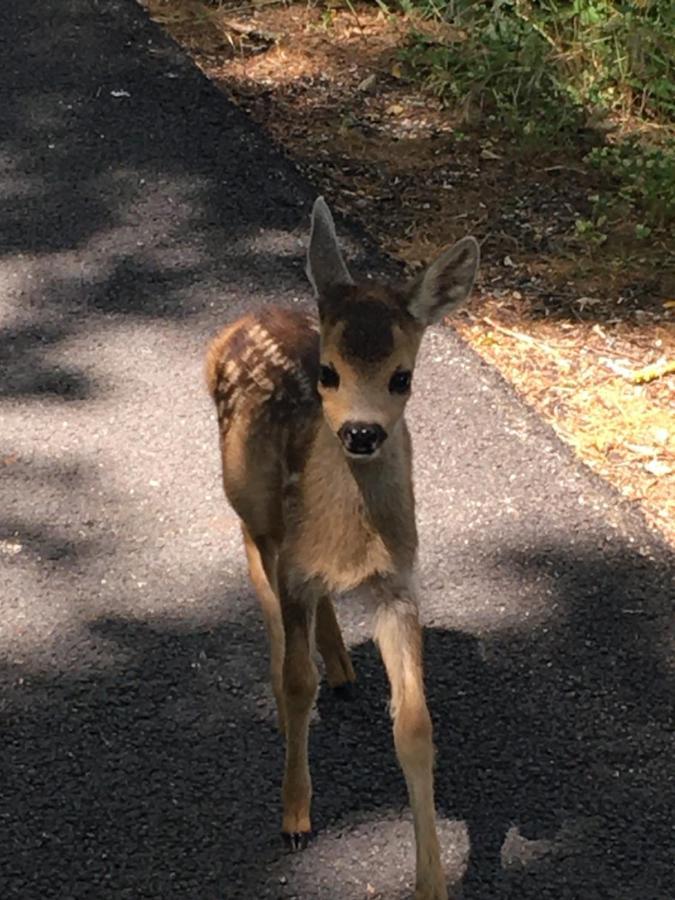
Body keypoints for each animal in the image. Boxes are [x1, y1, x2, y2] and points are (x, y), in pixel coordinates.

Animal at [206, 199, 480, 900]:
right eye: (328, 373)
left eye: (402, 376)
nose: (361, 432)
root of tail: (245, 320)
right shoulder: (297, 567)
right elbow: (298, 681)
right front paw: (295, 817)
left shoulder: (398, 584)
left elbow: (415, 726)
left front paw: (432, 882)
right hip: (248, 492)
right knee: (258, 565)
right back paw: (286, 695)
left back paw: (343, 666)